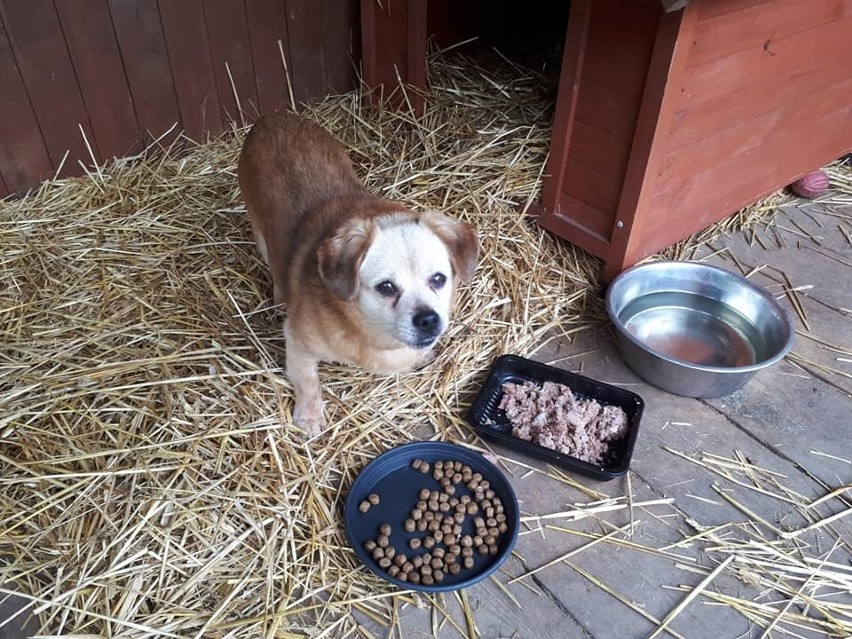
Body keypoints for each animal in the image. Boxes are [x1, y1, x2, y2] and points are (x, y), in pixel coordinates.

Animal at [238, 112, 480, 438]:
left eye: (439, 279)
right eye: (386, 287)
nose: (429, 320)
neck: (376, 336)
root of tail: (273, 117)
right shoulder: (297, 340)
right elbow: (307, 380)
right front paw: (310, 415)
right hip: (260, 235)